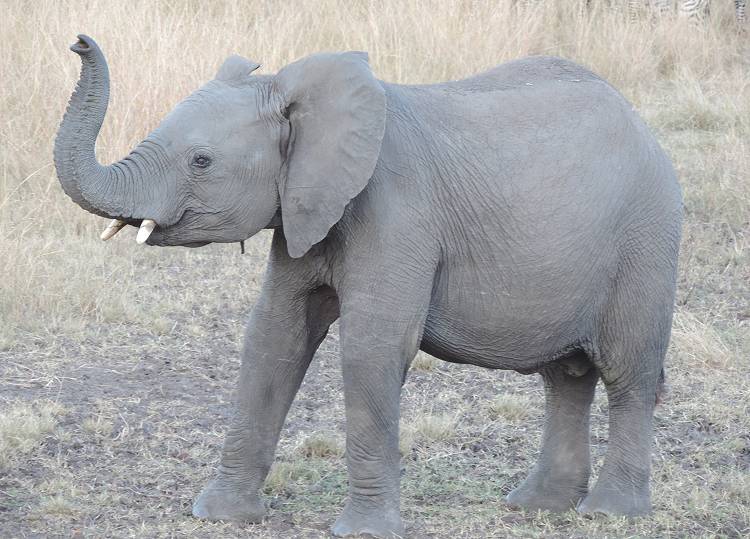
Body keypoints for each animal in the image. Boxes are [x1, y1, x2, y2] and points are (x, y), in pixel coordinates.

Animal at [55, 35, 684, 536]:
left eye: (202, 161)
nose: (79, 42)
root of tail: (643, 125)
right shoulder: (304, 207)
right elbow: (274, 337)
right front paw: (220, 516)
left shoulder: (397, 213)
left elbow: (371, 348)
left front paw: (361, 531)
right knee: (566, 376)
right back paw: (537, 506)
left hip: (646, 240)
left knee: (627, 373)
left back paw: (608, 513)